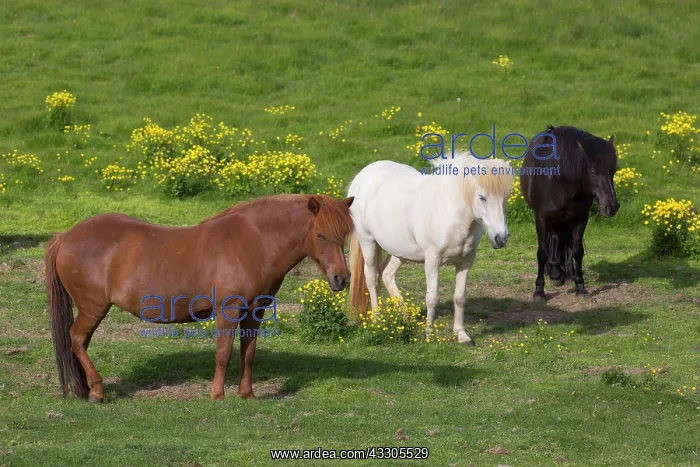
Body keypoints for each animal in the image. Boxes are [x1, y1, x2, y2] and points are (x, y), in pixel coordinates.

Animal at [44, 194, 354, 403]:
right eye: (320, 235)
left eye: (344, 237)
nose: (342, 278)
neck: (252, 243)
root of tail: (66, 236)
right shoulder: (229, 310)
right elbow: (223, 354)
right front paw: (217, 395)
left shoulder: (255, 311)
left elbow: (248, 353)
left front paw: (247, 394)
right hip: (93, 308)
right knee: (76, 340)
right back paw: (96, 390)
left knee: (79, 343)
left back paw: (85, 389)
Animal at [347, 151, 514, 345]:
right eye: (482, 197)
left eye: (505, 198)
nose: (501, 238)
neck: (450, 212)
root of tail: (361, 176)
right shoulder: (432, 261)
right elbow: (432, 298)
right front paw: (429, 334)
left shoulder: (465, 262)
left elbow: (460, 297)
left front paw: (462, 335)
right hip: (368, 241)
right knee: (371, 277)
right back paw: (376, 319)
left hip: (400, 251)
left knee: (387, 274)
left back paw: (405, 319)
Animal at [520, 125, 619, 301]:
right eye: (593, 172)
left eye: (613, 171)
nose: (612, 207)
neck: (559, 181)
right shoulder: (542, 217)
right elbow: (542, 252)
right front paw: (539, 291)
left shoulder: (580, 218)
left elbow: (577, 251)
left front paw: (580, 286)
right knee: (554, 238)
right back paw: (554, 272)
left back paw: (564, 272)